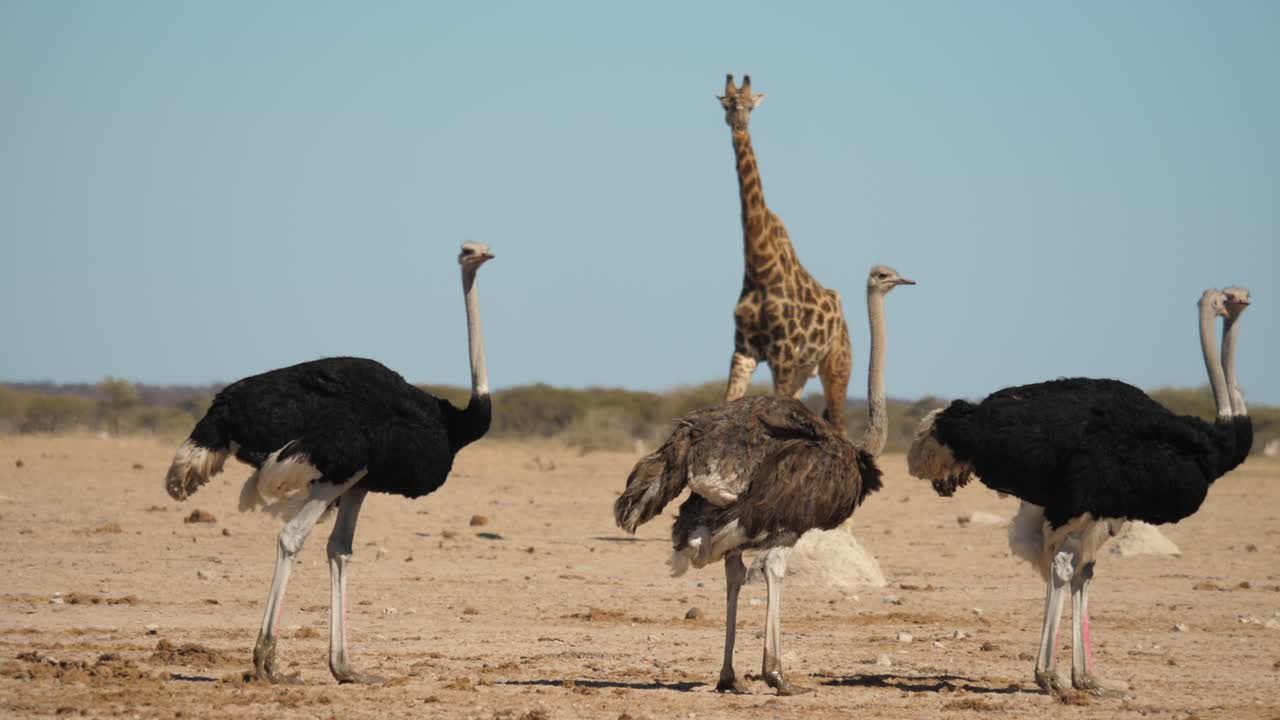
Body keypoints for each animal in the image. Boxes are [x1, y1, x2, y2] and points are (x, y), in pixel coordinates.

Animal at [720, 74, 853, 435]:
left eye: (750, 106)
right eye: (727, 104)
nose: (739, 125)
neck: (759, 267)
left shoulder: (781, 354)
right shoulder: (744, 351)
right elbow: (727, 402)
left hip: (836, 365)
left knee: (840, 425)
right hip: (804, 369)